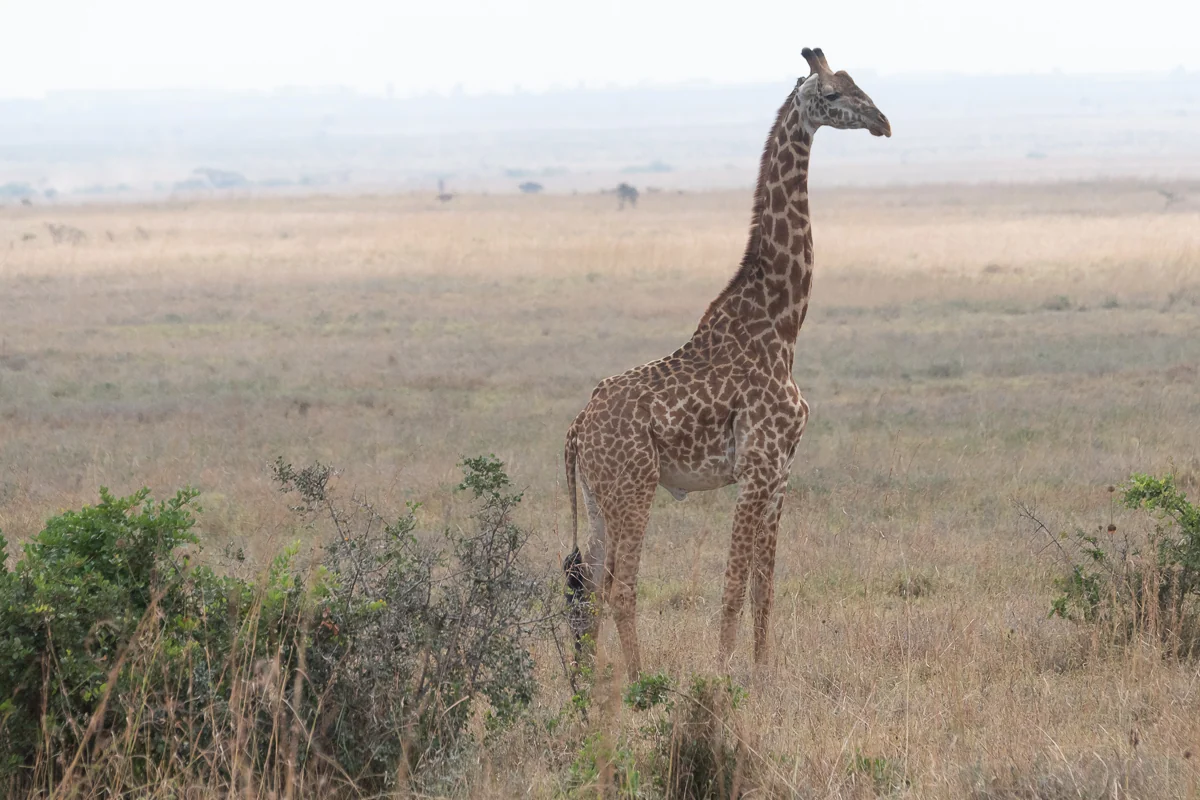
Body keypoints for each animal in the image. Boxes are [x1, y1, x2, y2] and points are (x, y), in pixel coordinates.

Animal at [563, 48, 891, 680]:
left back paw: (587, 684)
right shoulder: (757, 466)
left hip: (596, 497)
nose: (883, 122)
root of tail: (576, 428)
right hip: (633, 486)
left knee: (587, 586)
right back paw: (638, 680)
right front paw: (719, 673)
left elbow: (766, 585)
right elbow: (734, 583)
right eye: (833, 95)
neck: (783, 326)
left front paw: (763, 675)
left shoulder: (783, 471)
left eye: (857, 82)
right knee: (621, 587)